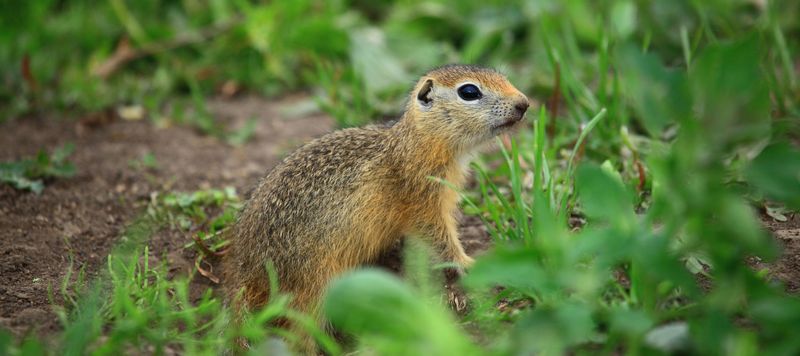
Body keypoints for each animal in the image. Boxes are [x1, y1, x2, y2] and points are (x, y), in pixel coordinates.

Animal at [225, 63, 528, 336]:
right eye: (469, 91)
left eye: (502, 76)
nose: (524, 103)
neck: (416, 143)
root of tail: (245, 273)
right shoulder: (422, 200)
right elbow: (439, 237)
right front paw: (469, 263)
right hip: (310, 287)